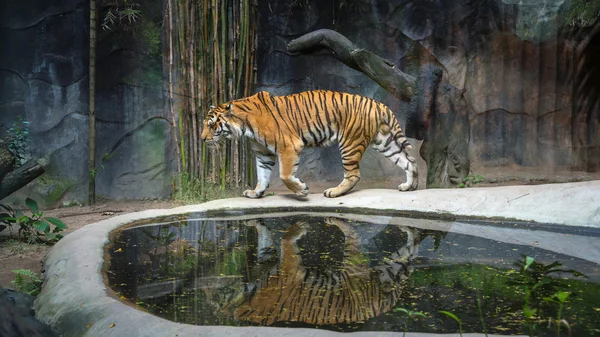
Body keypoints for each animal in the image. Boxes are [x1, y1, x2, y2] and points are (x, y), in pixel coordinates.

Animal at [202, 89, 418, 197]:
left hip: (349, 143)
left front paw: (301, 190)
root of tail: (378, 104)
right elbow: (262, 175)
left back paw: (334, 192)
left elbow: (285, 175)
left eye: (212, 125)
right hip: (384, 142)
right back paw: (410, 186)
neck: (244, 126)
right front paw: (256, 193)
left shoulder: (289, 146)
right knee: (409, 162)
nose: (203, 139)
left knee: (354, 175)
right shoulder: (263, 153)